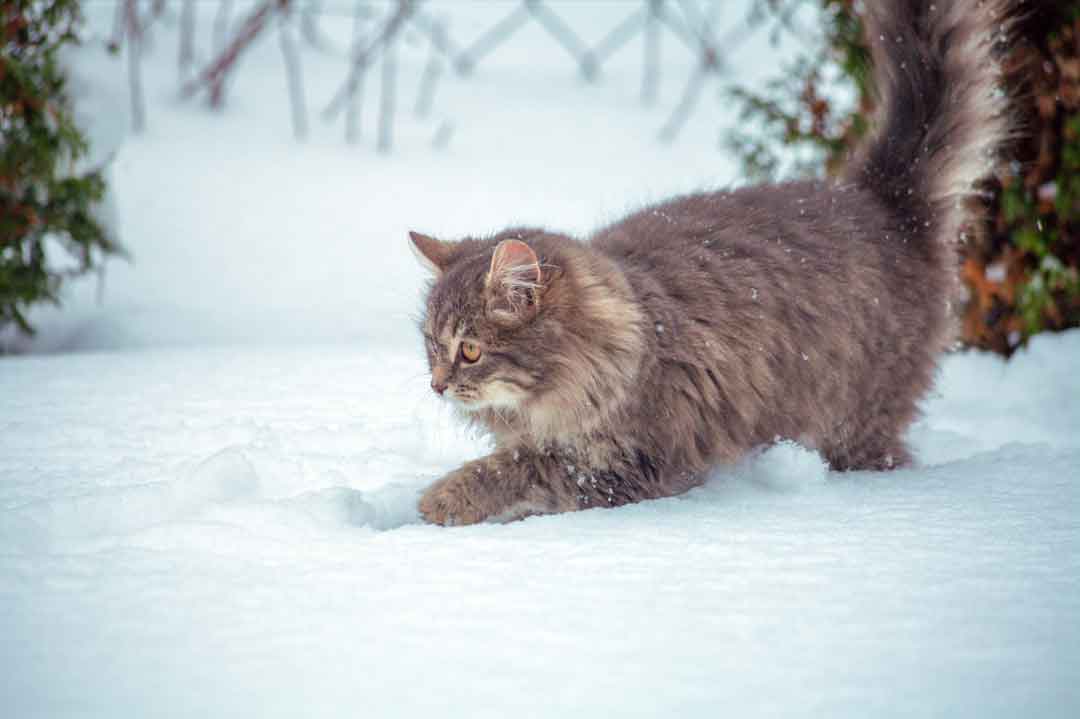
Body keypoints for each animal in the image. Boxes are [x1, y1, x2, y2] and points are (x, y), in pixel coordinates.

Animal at [408, 1, 1015, 526]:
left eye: (469, 350)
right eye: (432, 346)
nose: (436, 385)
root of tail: (878, 201)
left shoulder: (629, 463)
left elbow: (522, 468)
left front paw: (443, 500)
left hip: (857, 420)